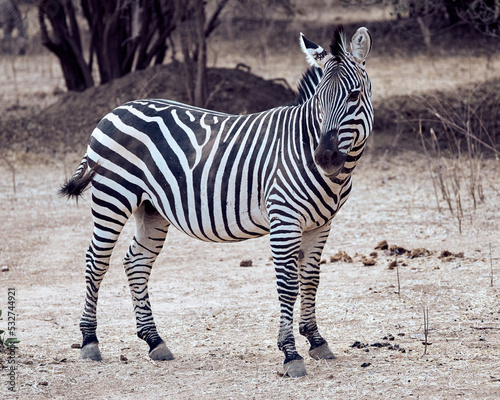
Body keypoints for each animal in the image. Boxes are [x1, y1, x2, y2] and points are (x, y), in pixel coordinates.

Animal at [60, 25, 374, 378]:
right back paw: (89, 341)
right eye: (319, 99)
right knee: (96, 261)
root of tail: (115, 110)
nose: (325, 157)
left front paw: (316, 340)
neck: (303, 143)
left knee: (136, 261)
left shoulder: (321, 224)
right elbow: (288, 284)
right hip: (113, 197)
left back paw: (155, 340)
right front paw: (290, 353)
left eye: (354, 96)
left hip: (150, 208)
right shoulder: (284, 220)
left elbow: (311, 278)